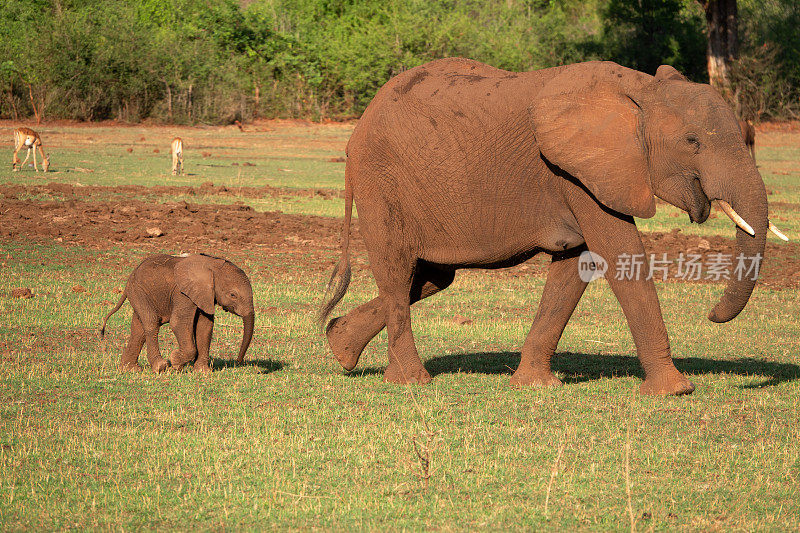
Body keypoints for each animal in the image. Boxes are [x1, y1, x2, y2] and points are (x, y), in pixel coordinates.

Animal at [100, 252, 255, 370]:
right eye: (233, 295)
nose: (238, 362)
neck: (211, 264)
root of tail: (130, 277)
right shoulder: (182, 294)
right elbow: (178, 323)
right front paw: (175, 362)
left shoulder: (204, 295)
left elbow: (204, 326)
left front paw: (203, 371)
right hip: (138, 291)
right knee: (151, 323)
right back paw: (160, 367)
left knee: (139, 329)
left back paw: (130, 369)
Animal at [318, 59, 780, 394]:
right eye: (691, 142)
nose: (712, 315)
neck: (642, 89)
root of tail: (356, 130)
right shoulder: (576, 169)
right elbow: (619, 254)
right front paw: (674, 391)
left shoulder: (581, 172)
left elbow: (577, 266)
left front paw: (535, 386)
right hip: (380, 182)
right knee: (397, 272)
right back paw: (410, 381)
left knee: (430, 276)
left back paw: (340, 347)